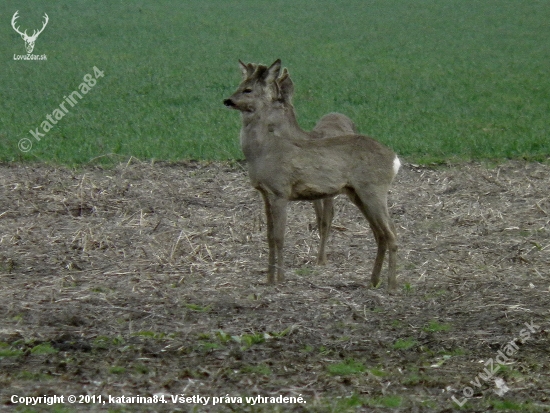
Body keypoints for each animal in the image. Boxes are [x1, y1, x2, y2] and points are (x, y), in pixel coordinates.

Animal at [224, 59, 402, 288]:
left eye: (248, 89)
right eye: (239, 85)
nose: (228, 100)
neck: (263, 151)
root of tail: (394, 159)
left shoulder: (280, 190)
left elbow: (279, 237)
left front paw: (280, 279)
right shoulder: (264, 193)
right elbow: (269, 237)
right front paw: (268, 278)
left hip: (374, 189)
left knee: (392, 232)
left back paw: (392, 286)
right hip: (356, 193)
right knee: (380, 233)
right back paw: (373, 281)